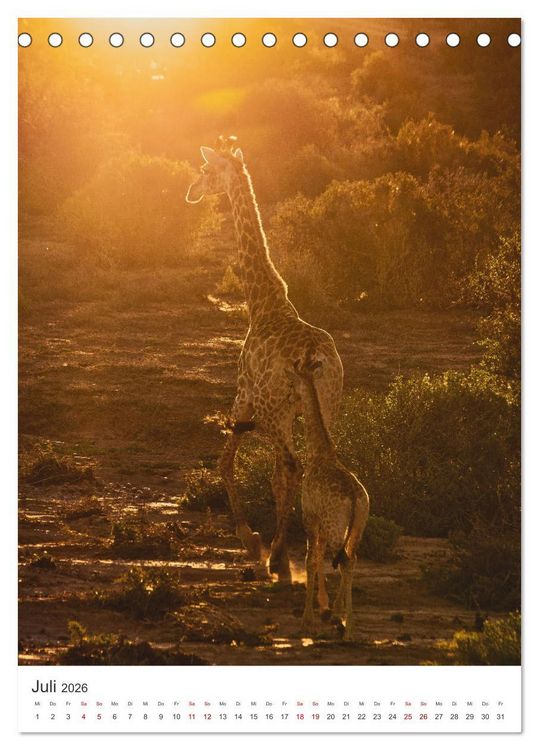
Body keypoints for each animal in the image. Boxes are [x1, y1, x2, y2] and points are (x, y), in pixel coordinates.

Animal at [186, 136, 343, 581]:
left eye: (205, 169)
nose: (192, 191)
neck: (262, 302)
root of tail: (314, 358)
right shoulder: (284, 410)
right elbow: (267, 474)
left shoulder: (245, 397)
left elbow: (225, 462)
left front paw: (252, 539)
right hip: (327, 405)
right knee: (315, 464)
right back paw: (312, 551)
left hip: (275, 410)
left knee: (290, 466)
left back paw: (278, 556)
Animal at [286, 350, 369, 640]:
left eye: (292, 384)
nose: (290, 400)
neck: (318, 452)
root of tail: (355, 498)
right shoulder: (320, 522)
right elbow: (319, 557)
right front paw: (326, 611)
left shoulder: (309, 516)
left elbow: (311, 560)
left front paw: (307, 621)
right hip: (357, 527)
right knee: (351, 559)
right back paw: (341, 618)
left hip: (336, 526)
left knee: (344, 560)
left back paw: (347, 627)